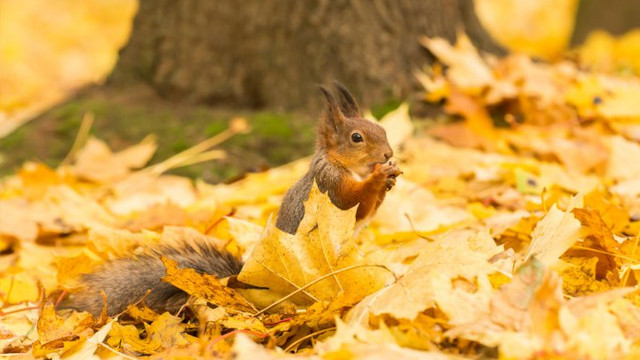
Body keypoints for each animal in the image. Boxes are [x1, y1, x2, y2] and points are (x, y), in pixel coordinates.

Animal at [61, 83, 400, 316]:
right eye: (357, 138)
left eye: (382, 128)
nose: (388, 154)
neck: (341, 164)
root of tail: (247, 282)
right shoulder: (328, 186)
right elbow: (353, 201)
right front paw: (378, 178)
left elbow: (366, 212)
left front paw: (388, 179)